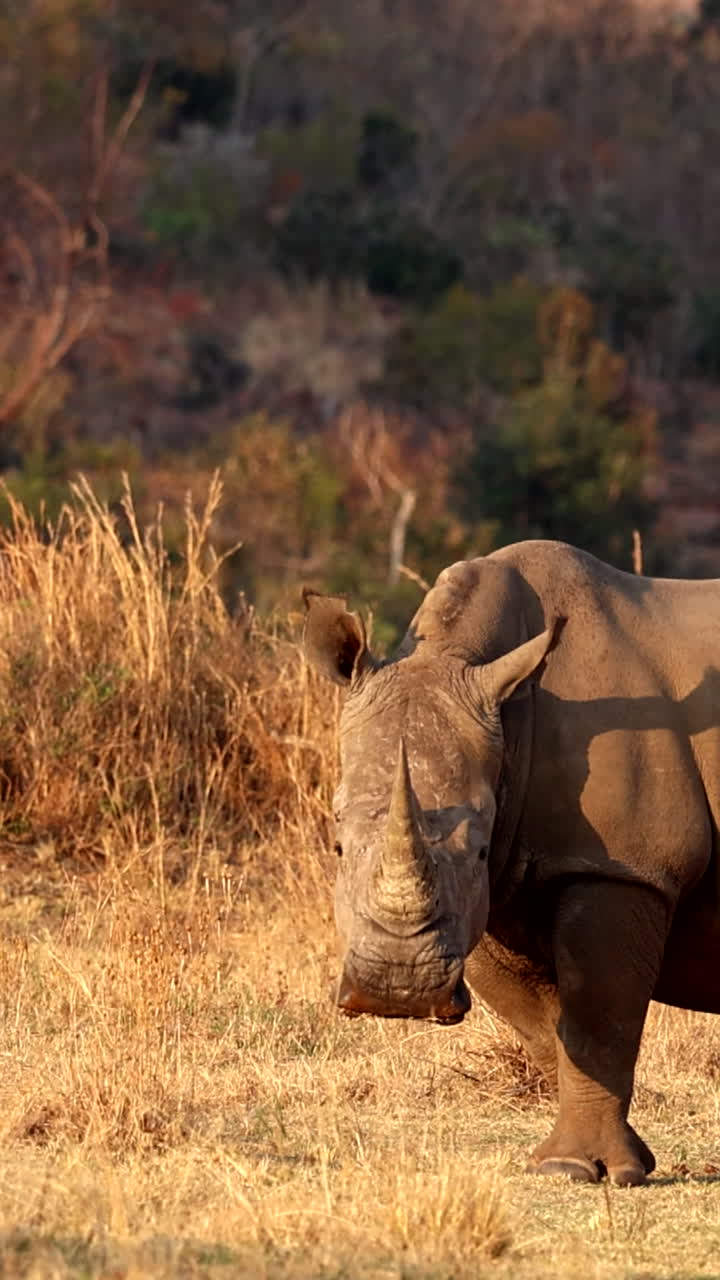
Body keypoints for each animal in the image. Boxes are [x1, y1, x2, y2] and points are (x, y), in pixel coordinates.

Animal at [302, 540, 720, 1187]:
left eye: (477, 846)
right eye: (338, 846)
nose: (397, 991)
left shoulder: (624, 867)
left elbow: (598, 1016)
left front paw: (585, 1169)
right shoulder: (496, 889)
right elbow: (548, 1030)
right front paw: (592, 1161)